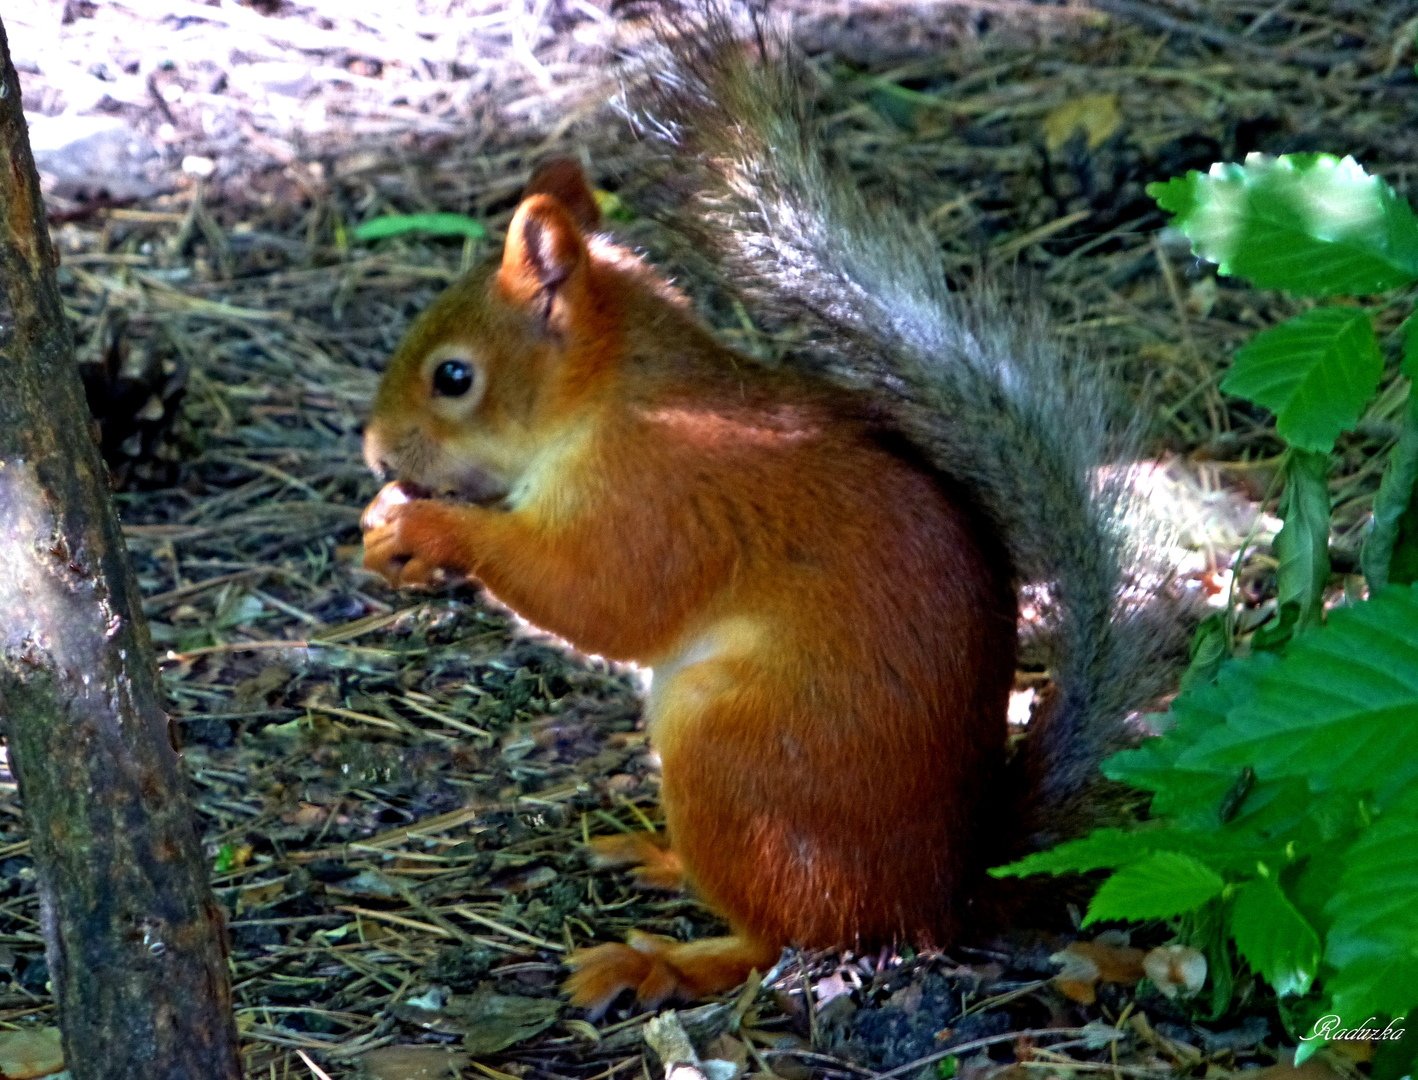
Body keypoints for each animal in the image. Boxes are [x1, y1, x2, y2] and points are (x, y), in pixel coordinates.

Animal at [360, 8, 1179, 1014]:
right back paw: (658, 858)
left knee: (788, 935)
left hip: (733, 762)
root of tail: (945, 893)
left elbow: (603, 600)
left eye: (453, 378)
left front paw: (429, 529)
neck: (611, 399)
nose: (377, 452)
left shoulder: (662, 496)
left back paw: (664, 961)